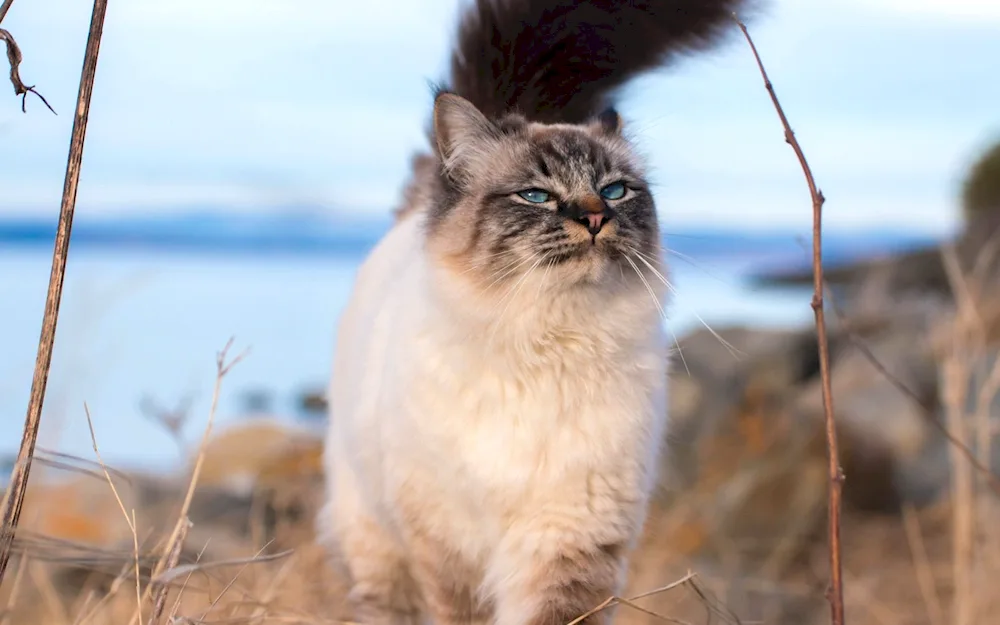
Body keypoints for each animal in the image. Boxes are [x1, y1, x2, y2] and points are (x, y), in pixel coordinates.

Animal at [320, 1, 752, 624]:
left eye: (615, 190)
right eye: (537, 196)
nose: (595, 217)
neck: (548, 338)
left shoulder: (569, 541)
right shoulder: (450, 551)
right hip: (377, 547)